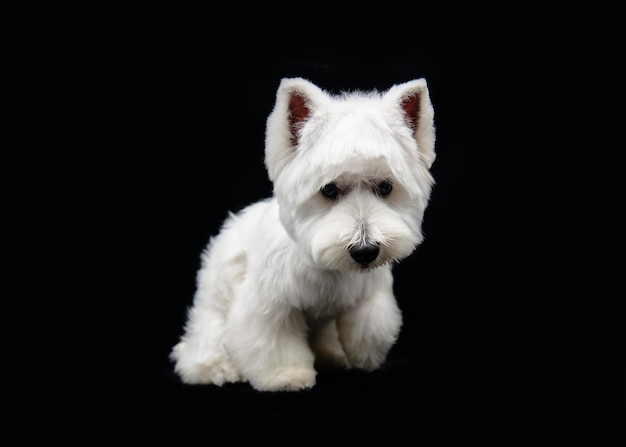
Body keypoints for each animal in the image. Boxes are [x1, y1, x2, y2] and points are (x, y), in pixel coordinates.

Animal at [171, 77, 434, 392]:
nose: (365, 251)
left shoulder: (371, 290)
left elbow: (370, 323)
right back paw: (218, 368)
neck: (328, 268)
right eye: (329, 189)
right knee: (201, 351)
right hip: (211, 322)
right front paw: (287, 376)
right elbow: (274, 342)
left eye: (385, 187)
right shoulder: (269, 305)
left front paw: (363, 355)